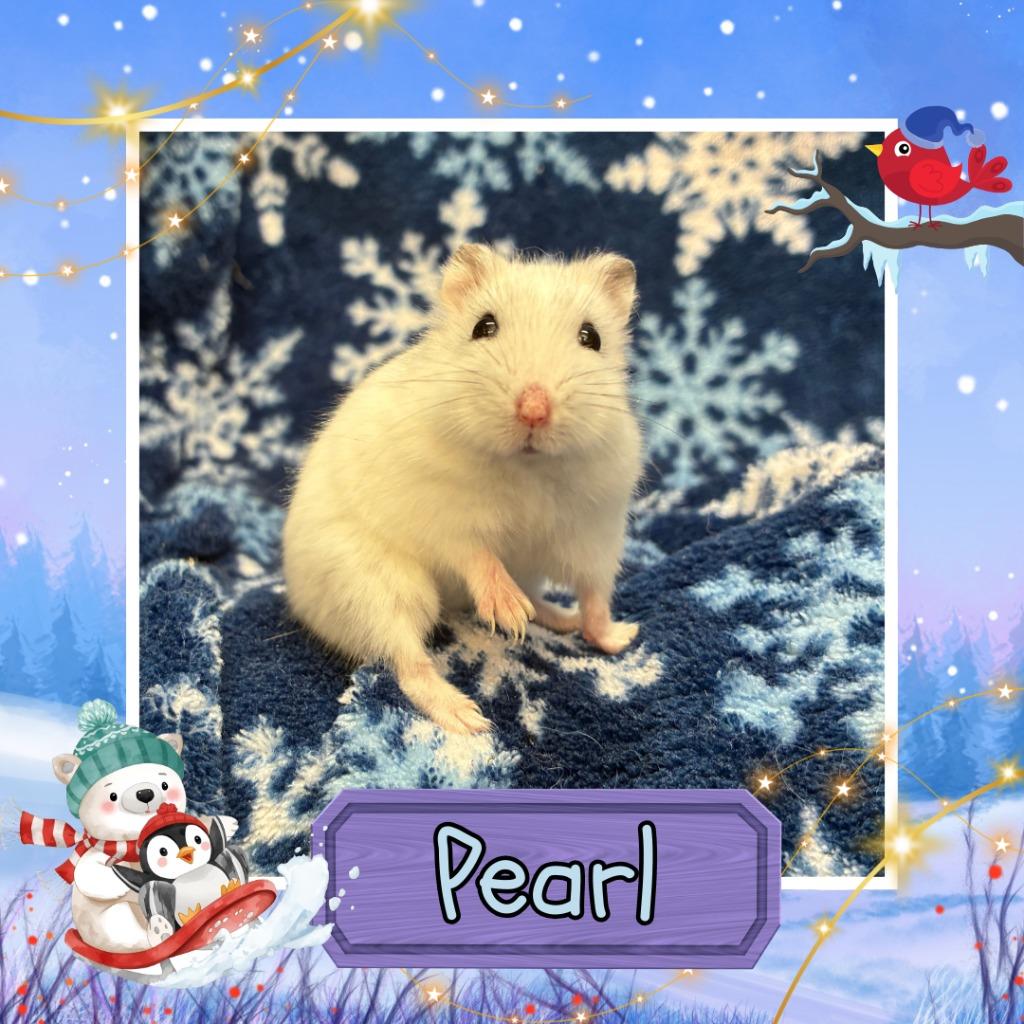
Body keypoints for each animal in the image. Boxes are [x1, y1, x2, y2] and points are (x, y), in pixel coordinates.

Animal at [283, 245, 643, 734]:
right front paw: (507, 614)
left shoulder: (594, 532)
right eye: (483, 327)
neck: (527, 469)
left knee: (542, 598)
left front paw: (622, 636)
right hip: (376, 588)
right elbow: (477, 556)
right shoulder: (444, 517)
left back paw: (555, 619)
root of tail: (296, 597)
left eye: (592, 337)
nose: (533, 410)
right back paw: (469, 717)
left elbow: (595, 597)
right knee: (407, 662)